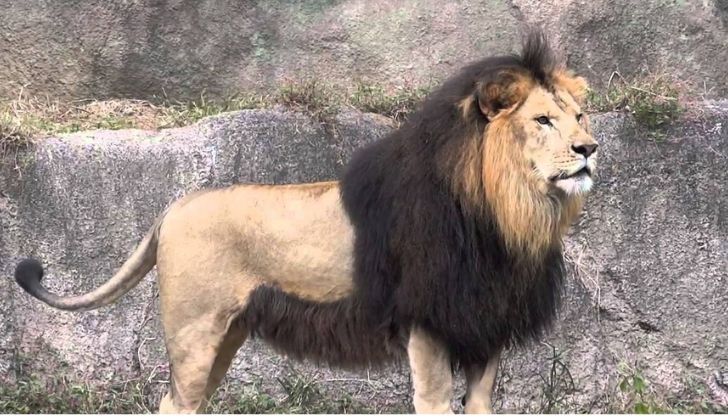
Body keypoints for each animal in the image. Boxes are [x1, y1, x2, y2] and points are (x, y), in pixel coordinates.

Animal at [14, 32, 598, 414]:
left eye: (579, 117)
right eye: (543, 120)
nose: (590, 148)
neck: (507, 213)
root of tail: (172, 207)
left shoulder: (485, 328)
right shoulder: (428, 326)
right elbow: (434, 404)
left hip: (226, 334)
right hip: (193, 332)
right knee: (174, 404)